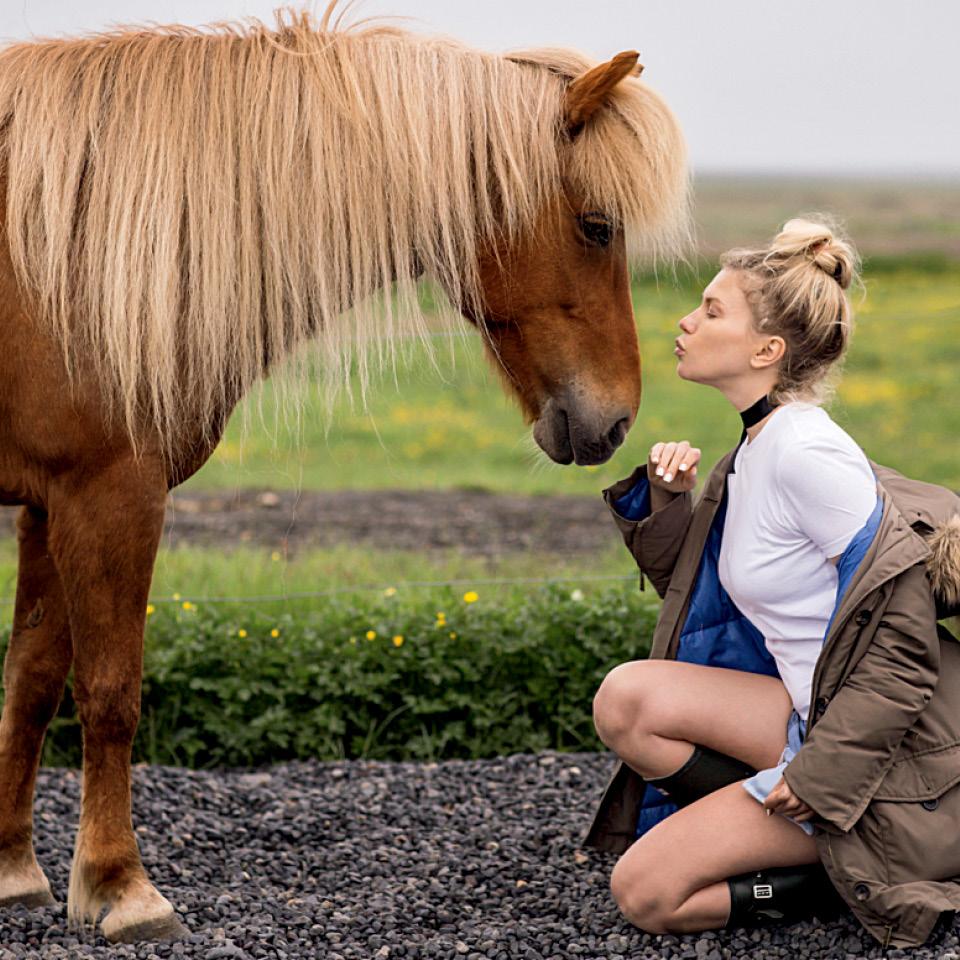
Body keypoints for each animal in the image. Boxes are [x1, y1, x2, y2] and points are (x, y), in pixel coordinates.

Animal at [0, 5, 689, 943]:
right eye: (595, 225)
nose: (614, 419)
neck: (79, 248)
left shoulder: (48, 503)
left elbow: (30, 684)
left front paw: (13, 871)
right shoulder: (108, 495)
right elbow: (111, 691)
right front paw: (120, 887)